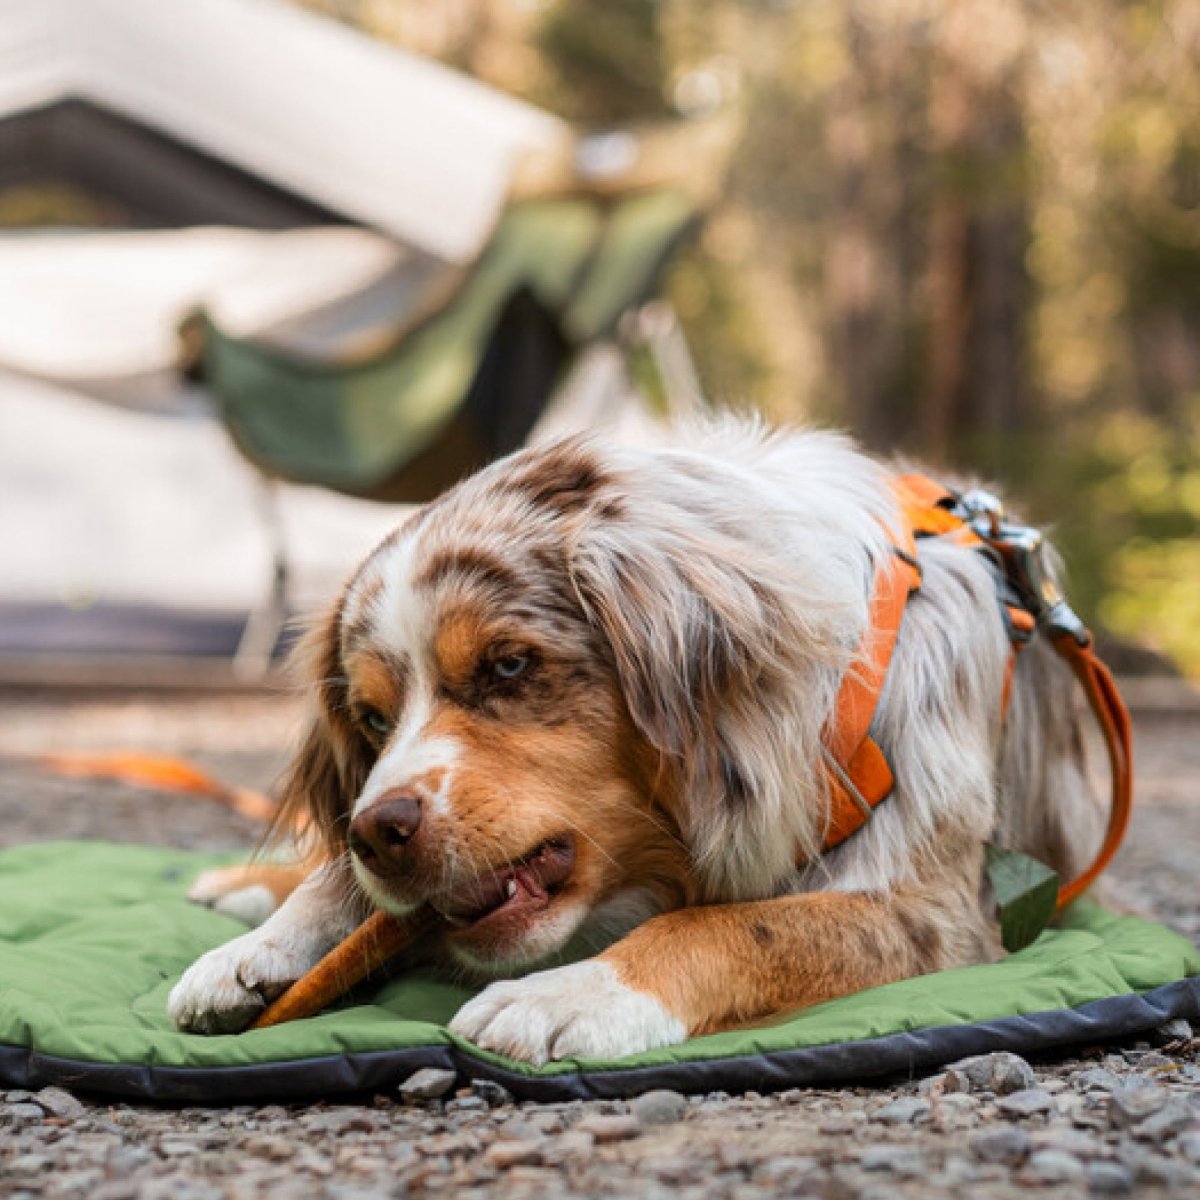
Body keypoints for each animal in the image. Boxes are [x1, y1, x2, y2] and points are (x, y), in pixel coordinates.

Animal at [169, 417, 1104, 1065]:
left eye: (509, 666)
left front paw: (566, 995)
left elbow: (736, 926)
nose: (378, 832)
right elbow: (339, 885)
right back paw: (240, 890)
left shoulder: (938, 909)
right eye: (370, 717)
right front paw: (261, 946)